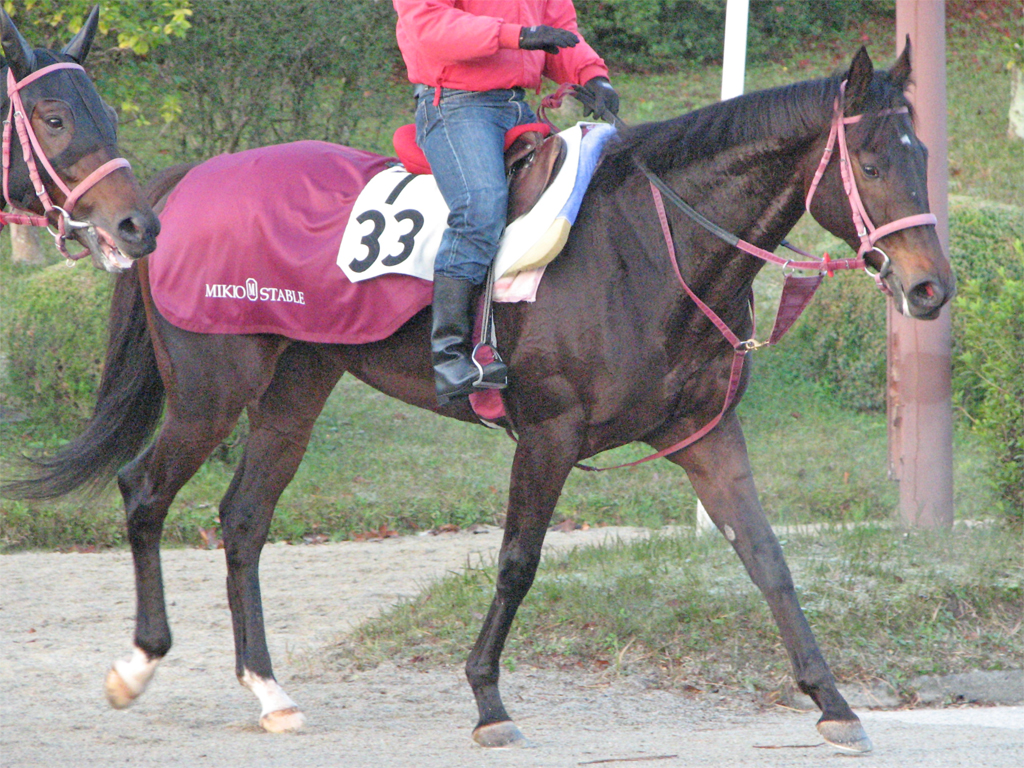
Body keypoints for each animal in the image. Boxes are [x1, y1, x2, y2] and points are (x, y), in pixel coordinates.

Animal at [6, 45, 950, 753]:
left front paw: (832, 700)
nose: (931, 287)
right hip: (211, 392)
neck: (651, 245)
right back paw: (138, 664)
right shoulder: (549, 435)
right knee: (144, 491)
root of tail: (176, 188)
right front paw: (489, 700)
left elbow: (767, 559)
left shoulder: (704, 435)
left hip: (294, 389)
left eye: (924, 157)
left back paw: (268, 690)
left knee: (242, 520)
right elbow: (517, 562)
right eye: (871, 162)